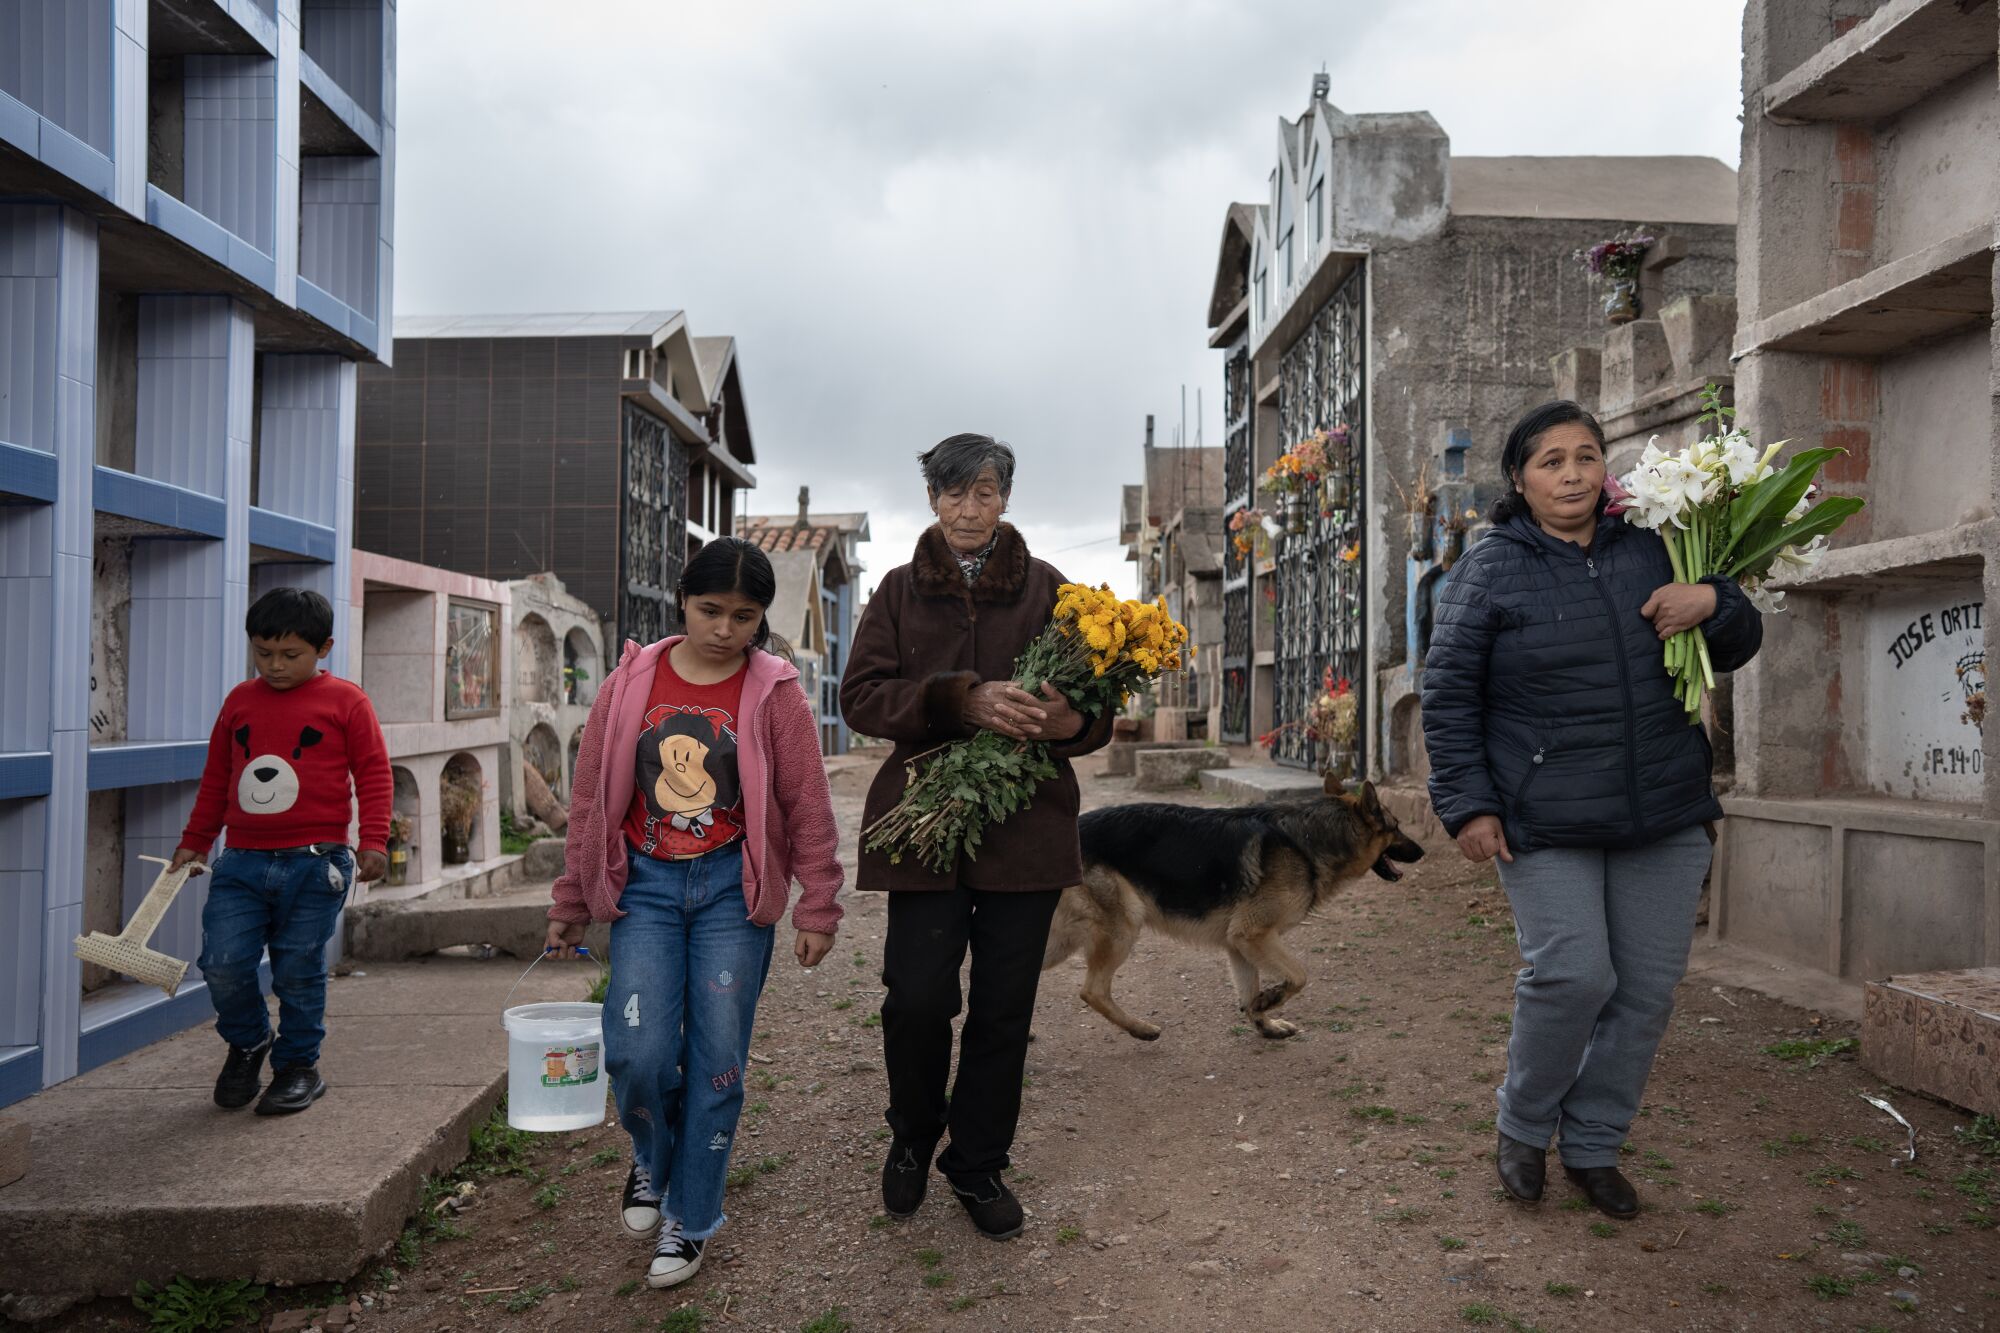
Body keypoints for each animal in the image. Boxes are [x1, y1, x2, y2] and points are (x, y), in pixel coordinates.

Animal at [1048, 780, 1424, 1040]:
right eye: (1396, 827)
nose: (1422, 851)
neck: (1308, 841)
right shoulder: (1254, 935)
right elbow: (1299, 975)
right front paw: (1271, 1000)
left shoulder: (1239, 945)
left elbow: (1248, 991)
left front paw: (1266, 1024)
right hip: (1122, 929)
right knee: (1092, 991)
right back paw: (1141, 1029)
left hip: (1061, 942)